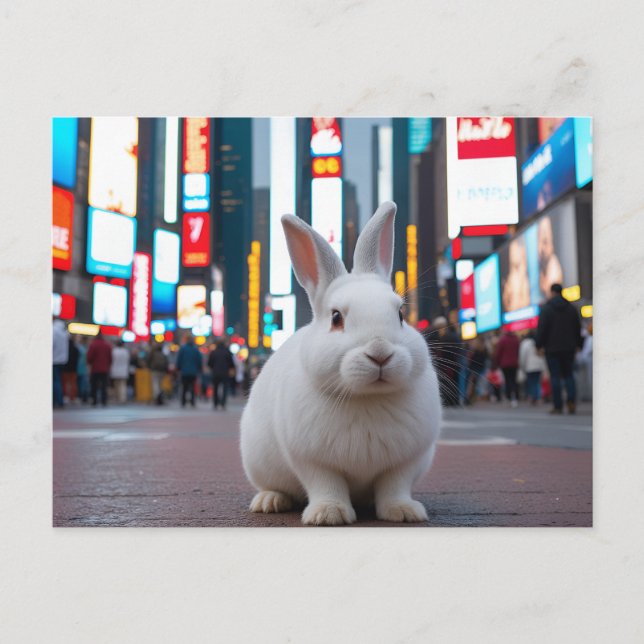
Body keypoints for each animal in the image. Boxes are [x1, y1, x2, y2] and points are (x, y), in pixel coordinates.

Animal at [239, 201, 442, 525]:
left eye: (400, 314)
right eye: (336, 318)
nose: (380, 352)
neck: (366, 398)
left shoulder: (405, 462)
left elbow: (394, 486)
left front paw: (403, 512)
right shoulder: (312, 461)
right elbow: (326, 484)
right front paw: (328, 514)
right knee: (274, 486)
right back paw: (269, 501)